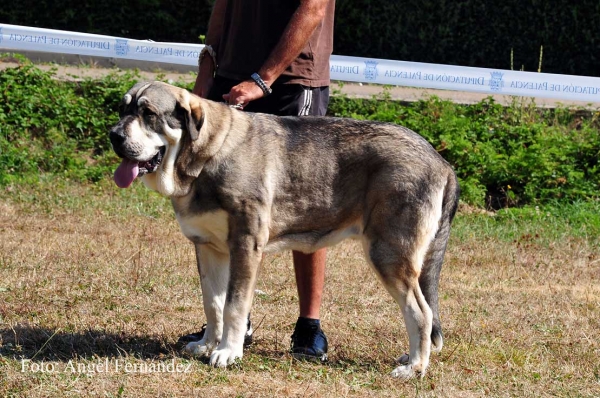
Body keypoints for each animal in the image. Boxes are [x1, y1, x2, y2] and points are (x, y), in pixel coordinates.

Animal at [108, 81, 460, 380]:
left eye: (148, 114)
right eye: (122, 109)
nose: (114, 136)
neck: (208, 154)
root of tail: (441, 162)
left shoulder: (245, 245)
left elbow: (234, 305)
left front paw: (227, 352)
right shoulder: (208, 248)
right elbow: (213, 304)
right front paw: (208, 344)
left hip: (389, 255)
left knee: (421, 313)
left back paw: (415, 367)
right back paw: (411, 357)